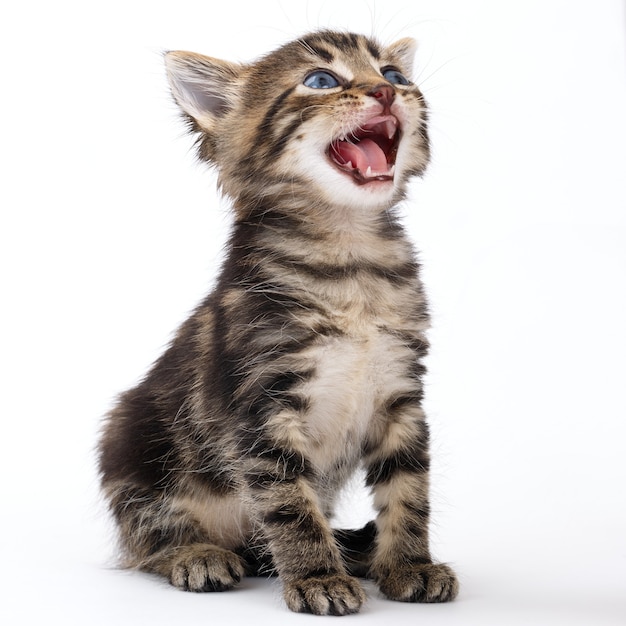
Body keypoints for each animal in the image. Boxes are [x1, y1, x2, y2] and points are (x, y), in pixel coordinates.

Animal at [98, 31, 458, 612]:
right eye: (321, 80)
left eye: (394, 74)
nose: (385, 91)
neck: (349, 260)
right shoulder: (262, 402)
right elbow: (289, 502)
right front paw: (317, 577)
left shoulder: (403, 393)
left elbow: (409, 489)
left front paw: (409, 564)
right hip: (130, 442)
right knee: (147, 537)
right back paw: (195, 554)